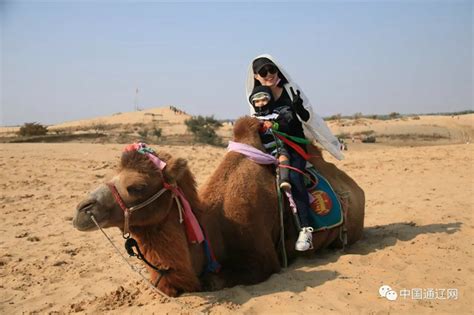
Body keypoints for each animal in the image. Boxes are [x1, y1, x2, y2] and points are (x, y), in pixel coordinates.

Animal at [72, 115, 364, 296]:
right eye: (112, 175)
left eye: (137, 187)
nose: (82, 210)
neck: (215, 231)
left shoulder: (262, 260)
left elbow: (212, 281)